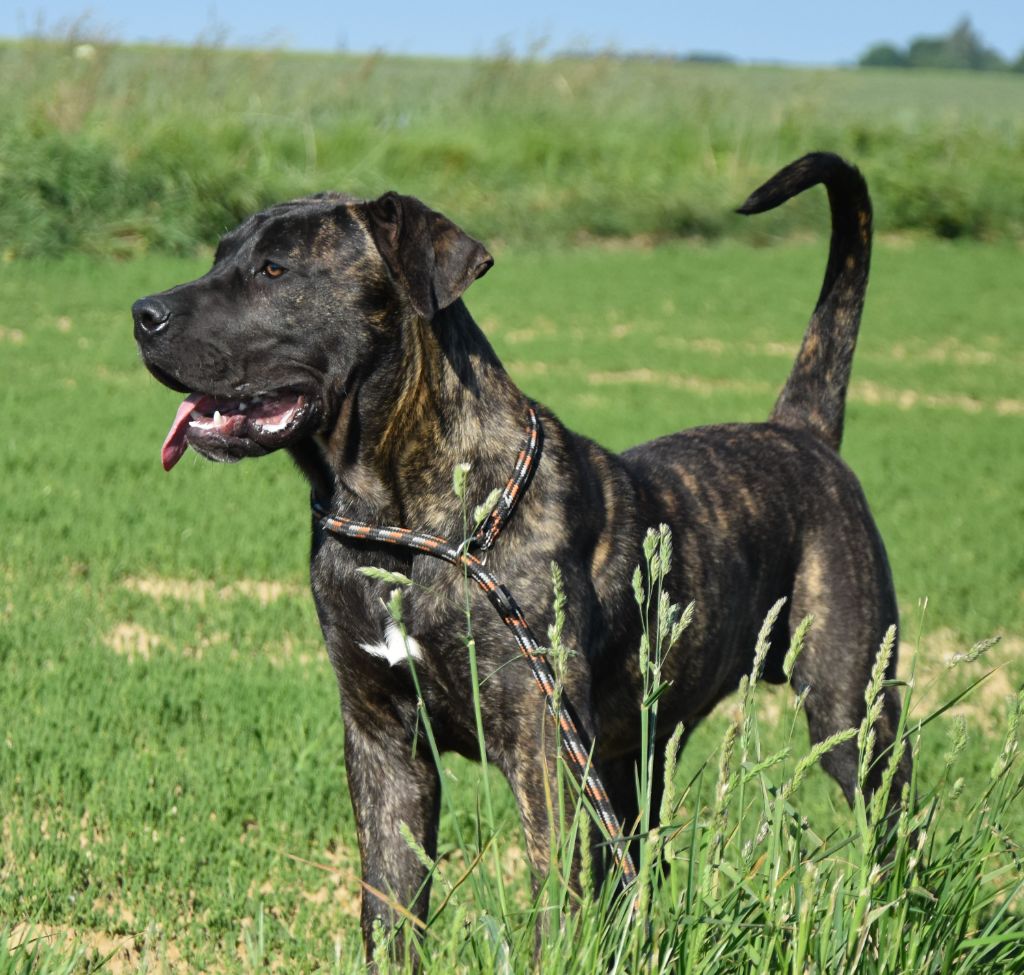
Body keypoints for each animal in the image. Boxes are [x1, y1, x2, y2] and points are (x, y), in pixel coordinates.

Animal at [133, 152, 910, 961]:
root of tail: (801, 432)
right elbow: (391, 912)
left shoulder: (541, 750)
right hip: (635, 758)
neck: (400, 528)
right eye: (220, 255)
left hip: (852, 710)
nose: (142, 314)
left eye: (276, 269)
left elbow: (555, 906)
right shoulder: (384, 746)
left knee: (888, 833)